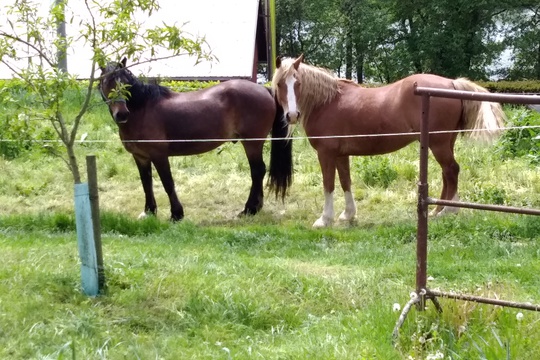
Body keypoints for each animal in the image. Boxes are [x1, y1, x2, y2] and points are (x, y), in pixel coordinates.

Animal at [97, 57, 292, 221]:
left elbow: (168, 183)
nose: (122, 114)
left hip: (252, 143)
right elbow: (147, 183)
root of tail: (265, 90)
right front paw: (149, 212)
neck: (142, 109)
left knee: (257, 171)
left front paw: (176, 214)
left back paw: (249, 209)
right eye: (106, 82)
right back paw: (256, 207)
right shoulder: (140, 157)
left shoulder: (159, 155)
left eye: (125, 83)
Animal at [274, 53, 506, 228]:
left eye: (298, 83)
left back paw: (448, 210)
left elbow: (328, 184)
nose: (292, 115)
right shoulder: (341, 155)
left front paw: (324, 219)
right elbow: (345, 181)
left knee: (451, 170)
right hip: (446, 142)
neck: (326, 102)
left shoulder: (326, 154)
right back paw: (437, 210)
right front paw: (348, 214)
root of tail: (451, 83)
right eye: (279, 84)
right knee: (447, 174)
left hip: (438, 144)